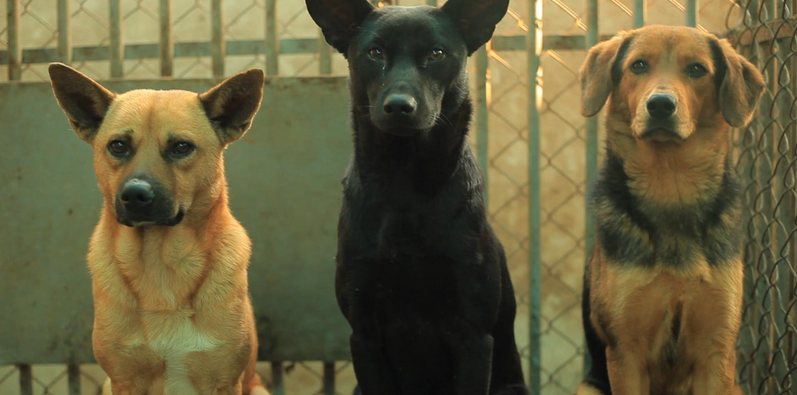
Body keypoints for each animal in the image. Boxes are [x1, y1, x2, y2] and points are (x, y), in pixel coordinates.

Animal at [50, 62, 270, 395]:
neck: (160, 266)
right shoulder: (124, 380)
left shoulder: (222, 381)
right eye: (118, 145)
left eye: (181, 147)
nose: (135, 195)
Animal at [308, 0, 524, 395]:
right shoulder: (363, 334)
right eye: (375, 53)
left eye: (436, 53)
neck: (403, 181)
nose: (398, 106)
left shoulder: (474, 335)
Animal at [576, 25, 760, 395]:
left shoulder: (716, 350)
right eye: (638, 65)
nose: (660, 105)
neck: (671, 185)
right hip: (587, 387)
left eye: (697, 70)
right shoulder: (626, 352)